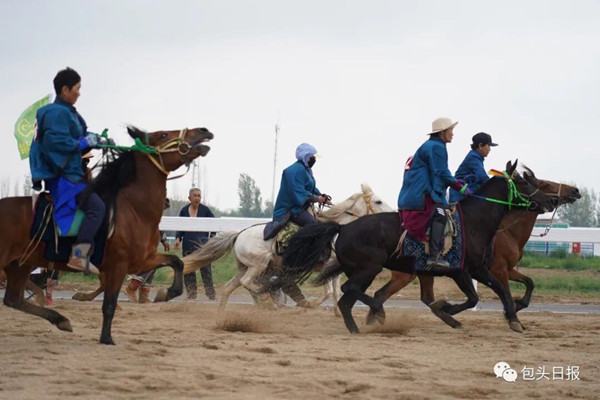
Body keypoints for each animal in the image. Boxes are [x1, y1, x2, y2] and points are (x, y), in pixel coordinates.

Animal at [0, 127, 214, 344]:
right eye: (163, 135)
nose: (204, 131)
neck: (134, 210)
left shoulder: (142, 260)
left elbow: (176, 262)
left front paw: (166, 293)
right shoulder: (117, 266)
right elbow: (109, 304)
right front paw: (106, 338)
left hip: (21, 264)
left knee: (13, 299)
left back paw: (61, 320)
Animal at [183, 183, 394, 314]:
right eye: (378, 201)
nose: (393, 213)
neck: (336, 232)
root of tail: (240, 233)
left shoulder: (334, 270)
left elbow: (335, 292)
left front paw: (336, 312)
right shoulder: (326, 268)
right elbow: (328, 292)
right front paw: (310, 304)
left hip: (244, 267)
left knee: (229, 287)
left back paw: (223, 313)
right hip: (258, 265)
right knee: (248, 283)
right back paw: (269, 297)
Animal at [278, 161, 556, 332]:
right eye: (524, 183)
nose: (546, 202)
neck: (474, 222)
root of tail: (343, 228)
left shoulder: (472, 270)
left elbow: (488, 293)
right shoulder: (469, 270)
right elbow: (487, 293)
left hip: (364, 272)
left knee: (348, 299)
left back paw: (358, 327)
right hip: (369, 269)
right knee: (352, 291)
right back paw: (377, 313)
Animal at [368, 169, 580, 328]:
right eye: (544, 184)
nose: (575, 191)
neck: (507, 231)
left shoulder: (503, 270)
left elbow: (528, 283)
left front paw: (517, 307)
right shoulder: (495, 270)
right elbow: (502, 292)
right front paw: (512, 315)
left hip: (423, 274)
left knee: (424, 297)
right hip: (405, 274)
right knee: (382, 294)